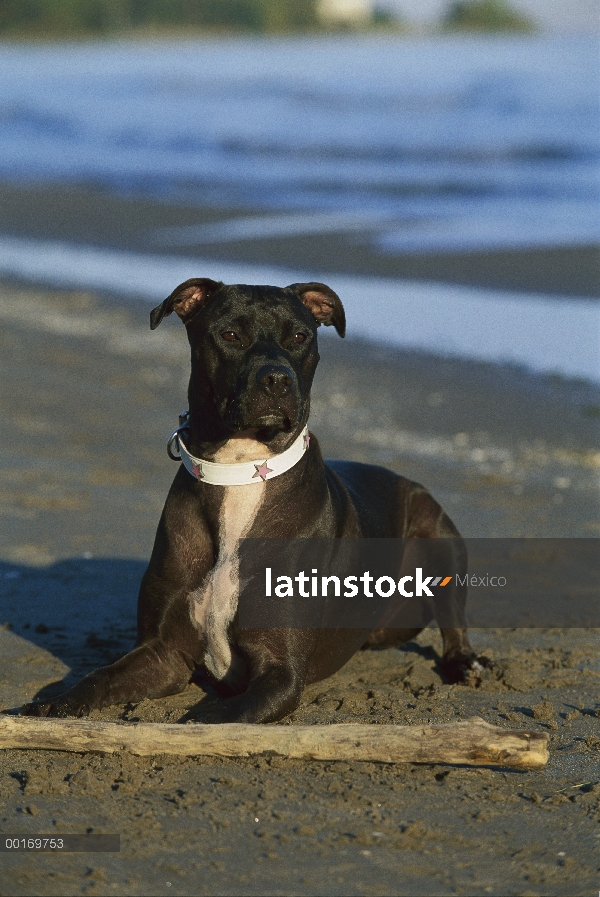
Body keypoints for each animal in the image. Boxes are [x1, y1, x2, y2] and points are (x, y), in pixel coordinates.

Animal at [23, 280, 482, 720]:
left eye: (299, 336)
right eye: (230, 334)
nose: (277, 379)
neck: (241, 470)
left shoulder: (281, 671)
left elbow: (219, 720)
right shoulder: (163, 654)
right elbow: (100, 676)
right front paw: (55, 703)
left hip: (438, 530)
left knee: (453, 617)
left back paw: (465, 664)